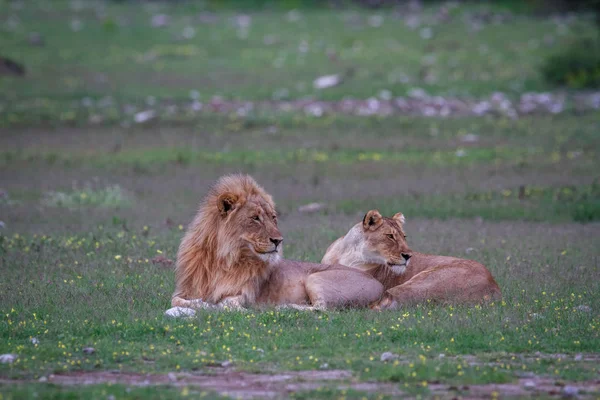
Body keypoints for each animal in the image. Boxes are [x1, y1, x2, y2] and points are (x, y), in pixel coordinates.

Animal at [171, 173, 382, 310]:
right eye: (255, 218)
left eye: (273, 217)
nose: (278, 241)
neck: (225, 259)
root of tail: (379, 283)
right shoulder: (185, 289)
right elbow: (176, 300)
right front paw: (200, 303)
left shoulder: (245, 294)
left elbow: (228, 302)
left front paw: (213, 305)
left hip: (315, 278)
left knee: (321, 309)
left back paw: (285, 307)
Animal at [324, 209, 502, 310]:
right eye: (390, 236)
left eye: (404, 236)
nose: (409, 256)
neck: (349, 253)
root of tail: (494, 286)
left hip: (425, 281)